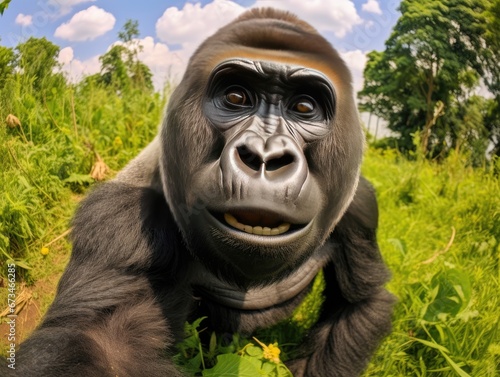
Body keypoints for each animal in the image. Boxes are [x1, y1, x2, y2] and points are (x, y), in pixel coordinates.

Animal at [4, 6, 394, 376]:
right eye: (236, 96)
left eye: (303, 107)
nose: (264, 156)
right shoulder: (119, 217)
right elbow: (101, 344)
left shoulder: (360, 205)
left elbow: (360, 301)